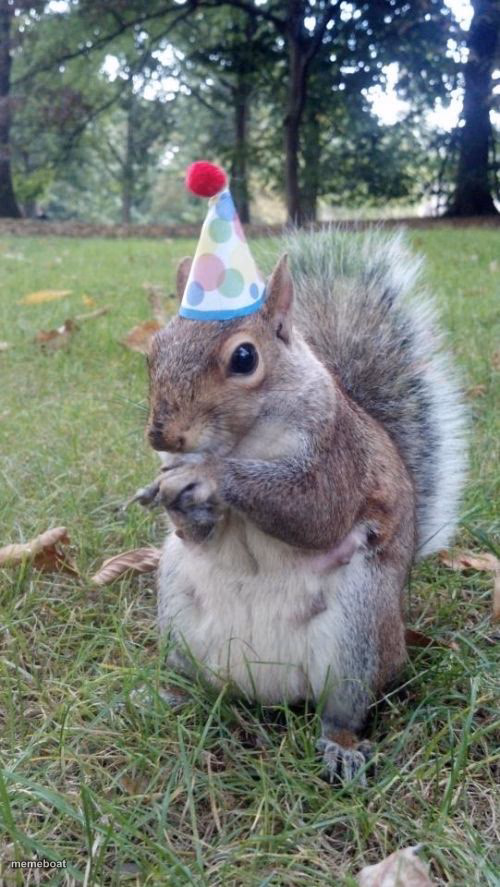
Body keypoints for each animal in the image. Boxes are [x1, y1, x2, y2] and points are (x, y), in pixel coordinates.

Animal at [144, 227, 466, 784]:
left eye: (245, 358)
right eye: (152, 350)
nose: (161, 434)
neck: (243, 441)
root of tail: (264, 687)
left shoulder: (338, 457)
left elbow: (315, 511)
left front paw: (207, 477)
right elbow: (196, 532)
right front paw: (171, 495)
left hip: (359, 631)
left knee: (343, 710)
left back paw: (340, 747)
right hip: (177, 615)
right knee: (199, 685)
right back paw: (168, 697)